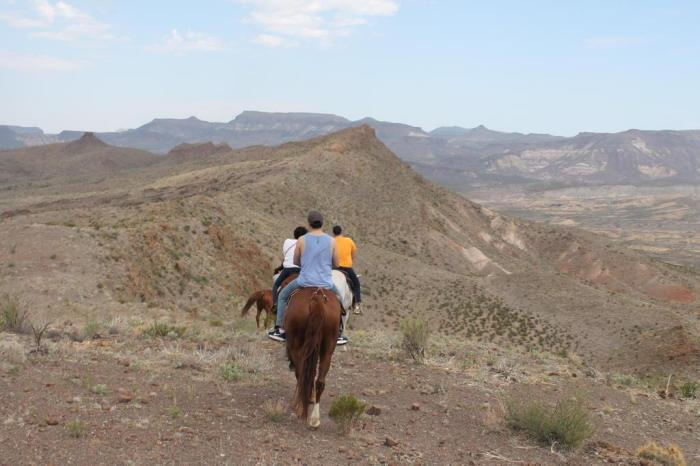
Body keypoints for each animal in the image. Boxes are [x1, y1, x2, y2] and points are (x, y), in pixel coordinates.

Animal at [286, 286, 344, 428]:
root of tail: (317, 297)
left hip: (296, 344)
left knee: (301, 375)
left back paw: (300, 407)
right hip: (327, 347)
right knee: (320, 380)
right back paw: (315, 419)